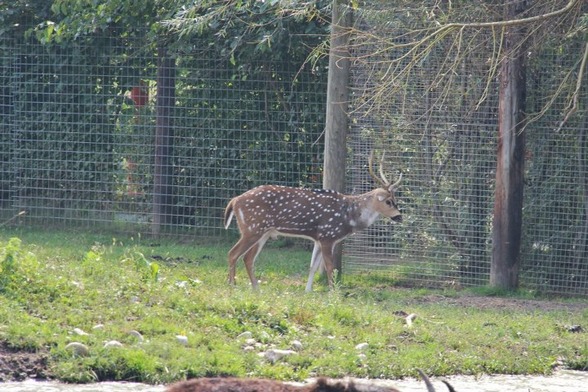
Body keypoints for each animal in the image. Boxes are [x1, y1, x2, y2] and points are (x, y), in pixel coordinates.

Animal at [223, 152, 402, 290]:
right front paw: (333, 293)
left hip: (263, 233)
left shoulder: (318, 238)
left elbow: (312, 267)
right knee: (233, 253)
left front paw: (308, 291)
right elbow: (330, 267)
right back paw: (232, 286)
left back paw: (256, 288)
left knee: (247, 258)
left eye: (396, 200)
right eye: (388, 201)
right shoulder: (328, 236)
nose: (399, 216)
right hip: (252, 228)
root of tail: (234, 200)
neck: (349, 216)